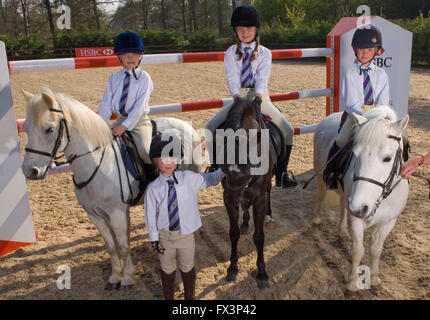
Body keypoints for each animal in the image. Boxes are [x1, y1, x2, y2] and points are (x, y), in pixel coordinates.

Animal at [20, 89, 202, 292]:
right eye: (26, 128)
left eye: (49, 129)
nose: (30, 171)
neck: (97, 165)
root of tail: (185, 126)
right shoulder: (95, 215)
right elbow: (111, 247)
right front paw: (115, 277)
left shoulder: (117, 214)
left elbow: (122, 246)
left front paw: (128, 278)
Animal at [213, 96, 278, 288]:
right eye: (223, 169)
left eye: (247, 171)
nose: (235, 201)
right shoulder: (227, 197)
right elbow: (233, 233)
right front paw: (232, 268)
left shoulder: (259, 198)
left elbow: (259, 236)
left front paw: (262, 273)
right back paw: (245, 222)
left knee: (268, 192)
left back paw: (268, 216)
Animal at [314, 106, 408, 296]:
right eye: (355, 155)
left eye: (387, 158)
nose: (359, 207)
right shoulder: (356, 220)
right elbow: (358, 251)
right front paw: (352, 284)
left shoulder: (387, 222)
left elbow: (376, 251)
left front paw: (375, 280)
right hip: (320, 175)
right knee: (321, 197)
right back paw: (317, 219)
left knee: (343, 206)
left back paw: (342, 232)